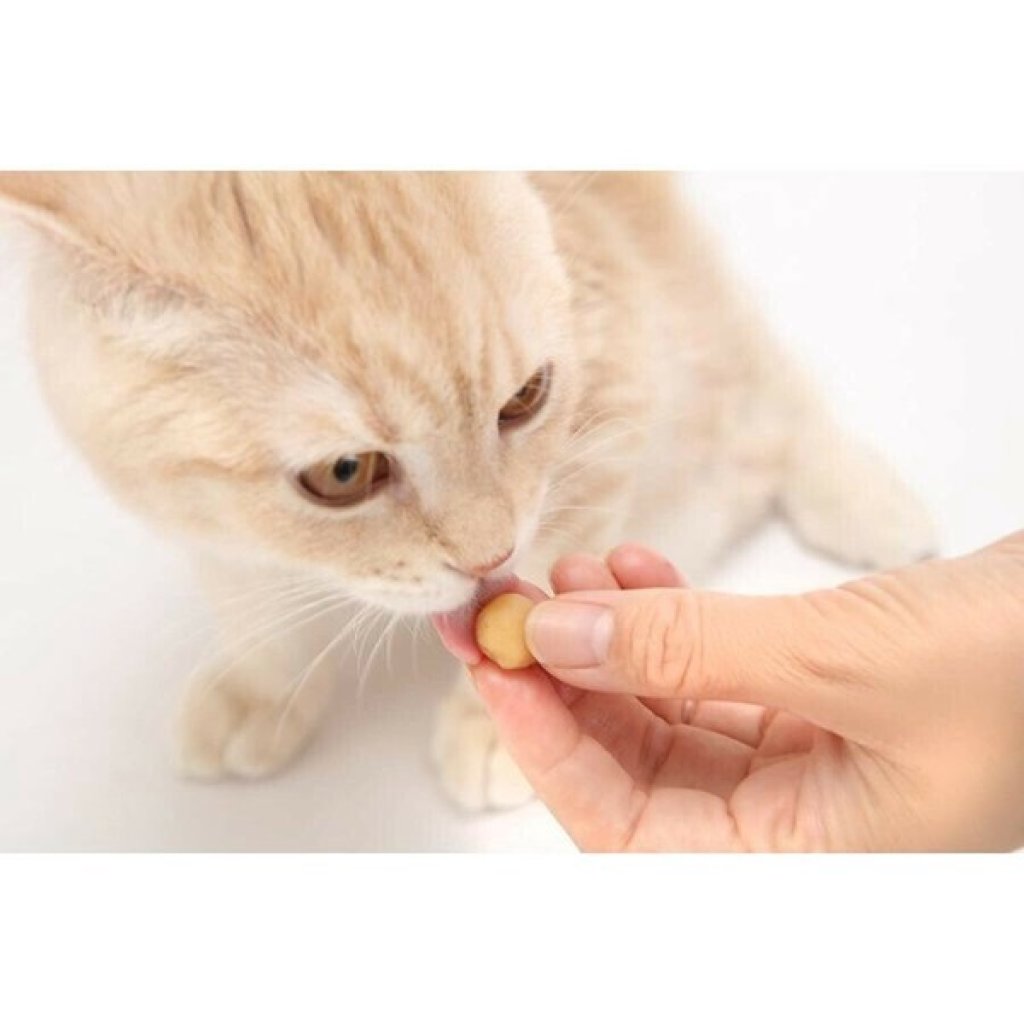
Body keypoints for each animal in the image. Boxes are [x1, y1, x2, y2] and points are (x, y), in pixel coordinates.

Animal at [0, 172, 935, 810]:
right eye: (344, 474)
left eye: (526, 396)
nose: (490, 552)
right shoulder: (193, 518)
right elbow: (244, 591)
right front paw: (259, 685)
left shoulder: (615, 392)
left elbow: (560, 548)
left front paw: (493, 729)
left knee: (764, 394)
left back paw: (869, 503)